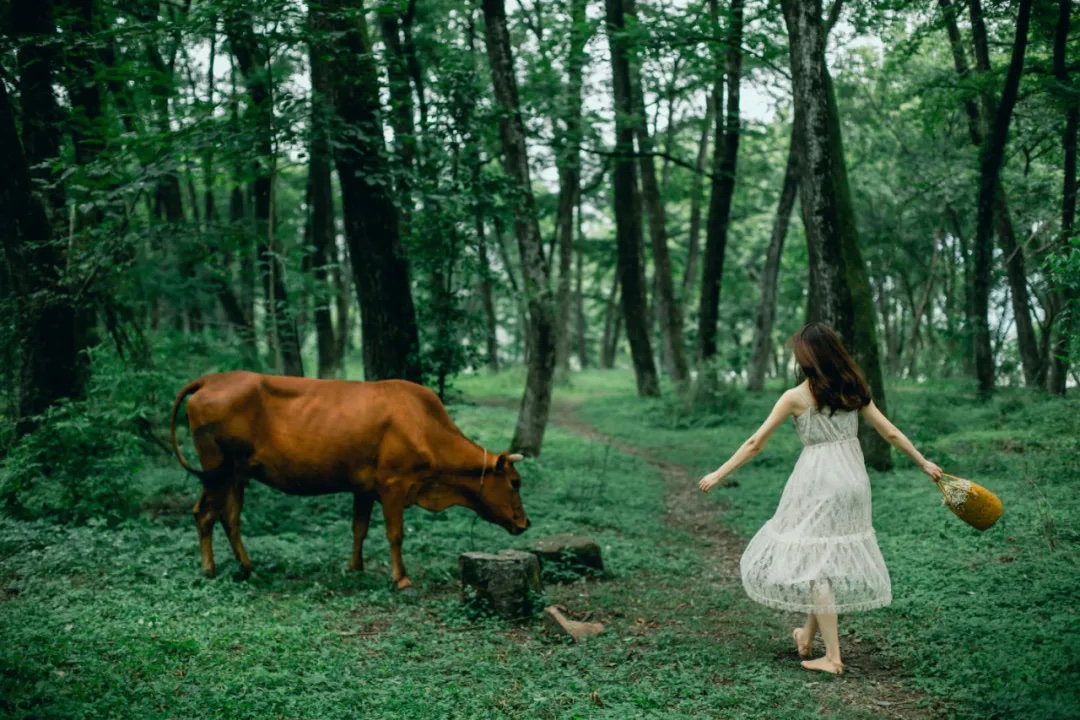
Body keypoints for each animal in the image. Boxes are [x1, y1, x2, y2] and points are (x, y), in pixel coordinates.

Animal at [167, 371, 531, 591]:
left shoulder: (364, 488)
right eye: (515, 482)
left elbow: (359, 529)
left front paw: (356, 568)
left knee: (229, 518)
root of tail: (212, 378)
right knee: (205, 515)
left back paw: (248, 568)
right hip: (217, 471)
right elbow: (395, 535)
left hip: (236, 476)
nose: (525, 523)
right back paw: (210, 570)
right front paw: (401, 579)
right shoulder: (393, 484)